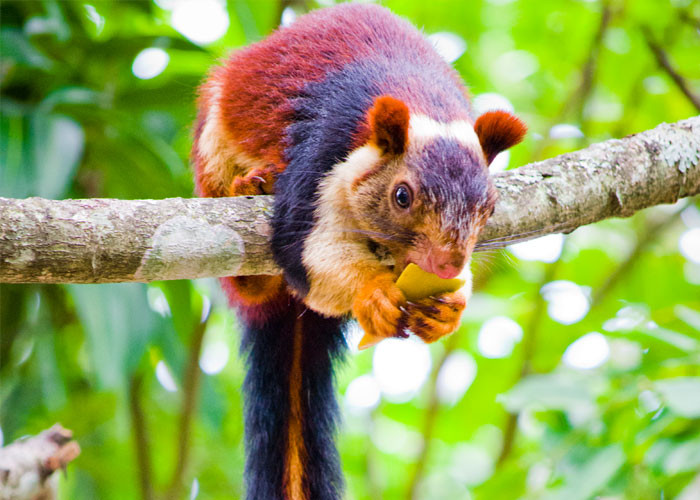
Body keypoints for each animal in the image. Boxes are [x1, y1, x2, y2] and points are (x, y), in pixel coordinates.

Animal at [192, 4, 526, 499]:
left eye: (490, 206)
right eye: (402, 196)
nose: (447, 263)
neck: (426, 103)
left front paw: (449, 308)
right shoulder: (320, 157)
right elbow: (306, 252)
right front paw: (373, 294)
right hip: (214, 143)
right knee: (246, 277)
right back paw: (251, 211)